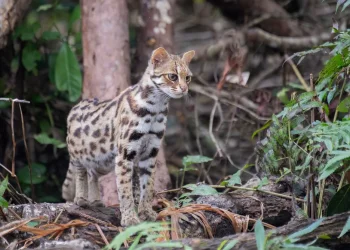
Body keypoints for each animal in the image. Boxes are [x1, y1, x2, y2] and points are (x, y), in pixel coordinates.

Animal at [61, 47, 196, 227]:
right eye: (172, 76)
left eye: (188, 78)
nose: (184, 89)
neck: (156, 107)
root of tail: (75, 108)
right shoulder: (125, 153)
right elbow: (125, 190)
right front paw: (129, 218)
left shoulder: (150, 152)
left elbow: (148, 185)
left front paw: (146, 212)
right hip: (80, 154)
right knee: (81, 172)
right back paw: (81, 198)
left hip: (102, 161)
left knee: (92, 174)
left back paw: (96, 200)